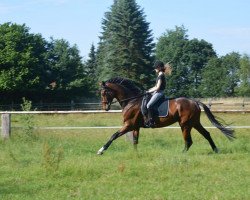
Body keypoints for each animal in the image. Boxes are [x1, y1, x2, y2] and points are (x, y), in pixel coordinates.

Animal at [96, 76, 234, 155]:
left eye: (104, 92)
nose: (105, 108)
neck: (131, 100)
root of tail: (194, 101)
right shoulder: (135, 126)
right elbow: (135, 141)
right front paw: (136, 155)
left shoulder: (128, 125)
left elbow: (113, 135)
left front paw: (100, 151)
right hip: (194, 123)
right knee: (206, 134)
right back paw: (216, 150)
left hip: (185, 124)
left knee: (188, 141)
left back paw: (181, 154)